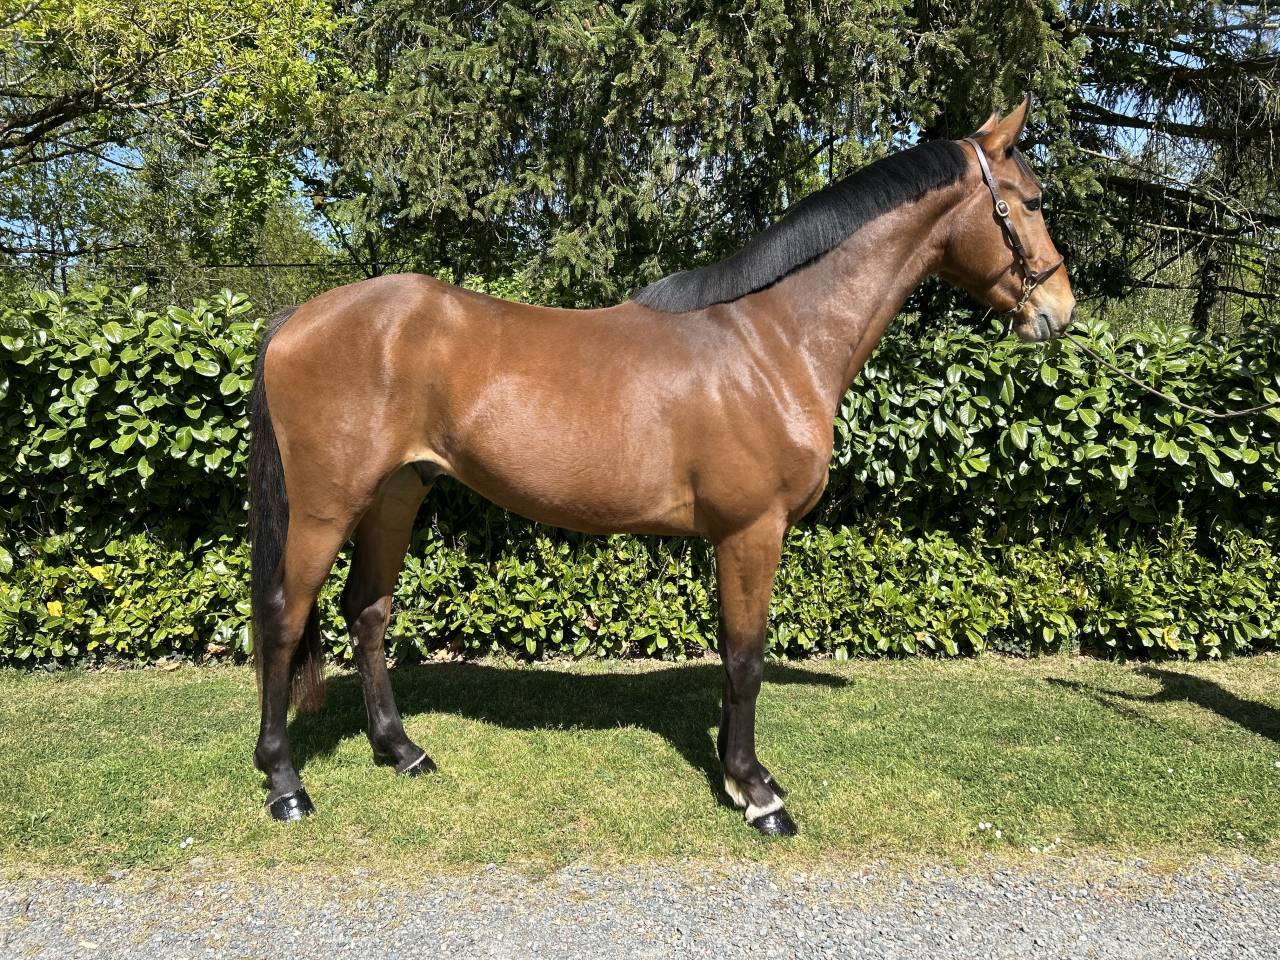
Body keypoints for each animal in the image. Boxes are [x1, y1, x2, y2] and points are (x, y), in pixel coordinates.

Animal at [248, 97, 1076, 835]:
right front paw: (757, 793)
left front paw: (739, 776)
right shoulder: (751, 531)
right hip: (328, 504)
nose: (1060, 312)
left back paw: (402, 751)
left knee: (368, 611)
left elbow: (733, 657)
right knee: (285, 617)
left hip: (397, 492)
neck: (773, 340)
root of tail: (299, 318)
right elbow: (745, 659)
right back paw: (285, 786)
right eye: (1032, 201)